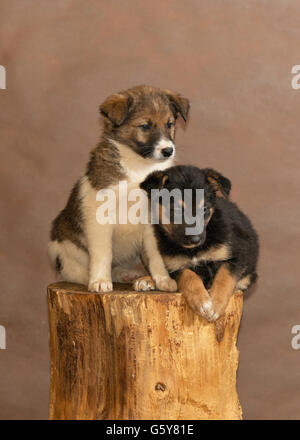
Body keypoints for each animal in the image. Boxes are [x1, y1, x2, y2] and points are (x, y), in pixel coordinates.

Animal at [49, 85, 190, 292]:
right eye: (145, 126)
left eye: (169, 124)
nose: (168, 151)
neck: (139, 166)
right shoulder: (99, 219)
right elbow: (102, 254)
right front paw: (99, 281)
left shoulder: (152, 220)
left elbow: (155, 254)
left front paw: (163, 279)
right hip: (66, 244)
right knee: (72, 270)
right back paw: (89, 277)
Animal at [138, 165, 258, 320]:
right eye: (176, 210)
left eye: (204, 209)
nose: (195, 239)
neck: (193, 250)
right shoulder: (175, 265)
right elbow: (189, 276)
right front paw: (201, 302)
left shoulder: (238, 255)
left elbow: (224, 277)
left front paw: (215, 305)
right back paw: (147, 280)